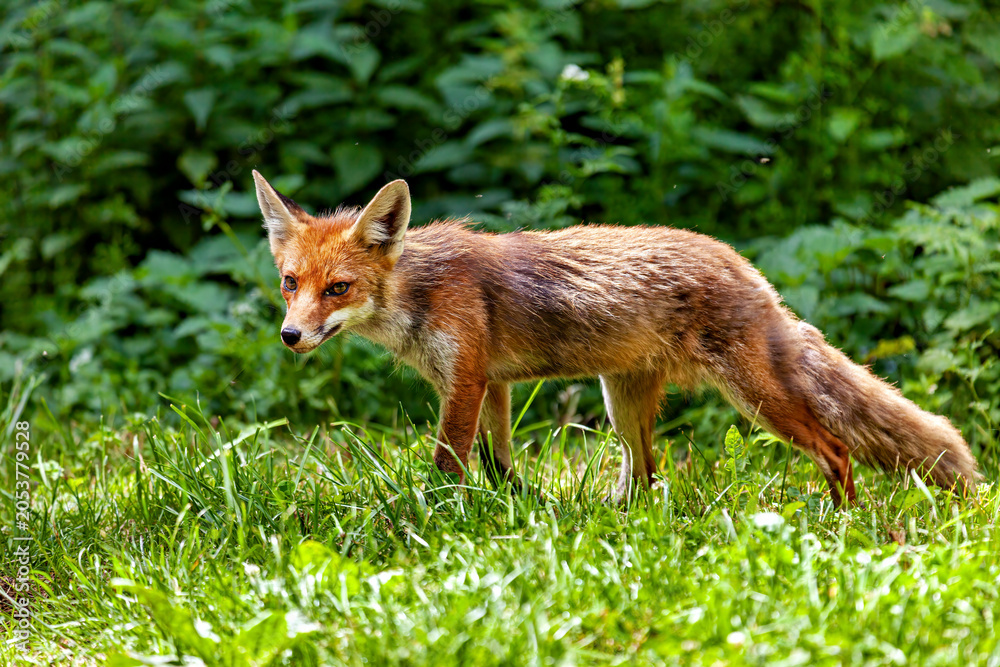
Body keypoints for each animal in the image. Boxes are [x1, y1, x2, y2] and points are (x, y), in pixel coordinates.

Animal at [252, 170, 980, 506]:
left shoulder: (465, 379)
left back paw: (842, 522)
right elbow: (498, 462)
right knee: (648, 474)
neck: (418, 295)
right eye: (290, 282)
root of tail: (747, 268)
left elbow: (448, 462)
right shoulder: (490, 383)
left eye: (338, 288)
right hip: (620, 399)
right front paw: (512, 509)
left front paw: (441, 516)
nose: (290, 336)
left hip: (754, 396)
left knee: (836, 448)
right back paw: (613, 519)